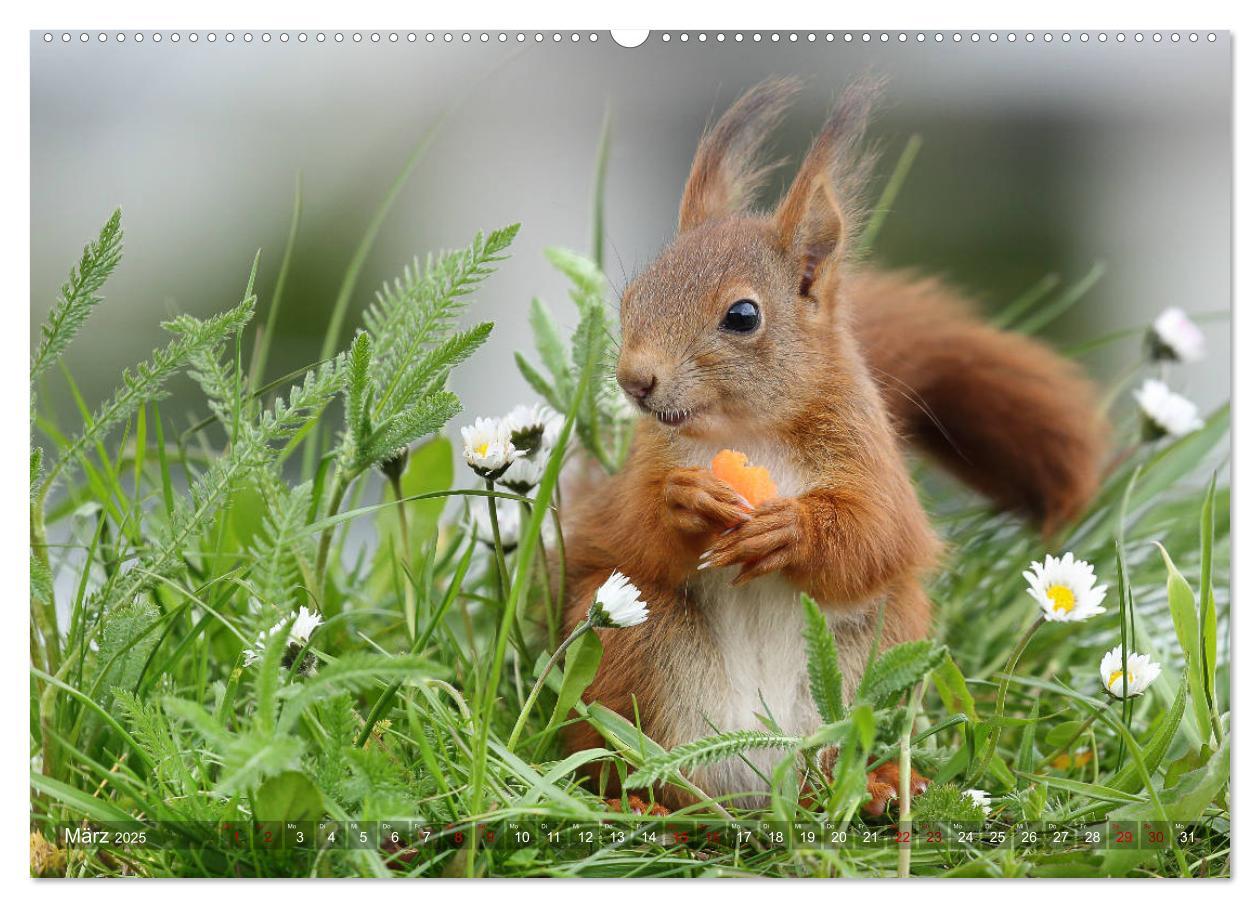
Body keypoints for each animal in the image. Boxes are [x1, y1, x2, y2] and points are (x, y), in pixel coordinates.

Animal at [559, 81, 1103, 811]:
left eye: (742, 316)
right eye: (635, 295)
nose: (635, 380)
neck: (747, 432)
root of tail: (757, 782)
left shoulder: (871, 460)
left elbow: (877, 535)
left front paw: (792, 528)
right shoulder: (636, 479)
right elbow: (631, 529)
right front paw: (685, 499)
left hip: (872, 655)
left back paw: (876, 786)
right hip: (631, 644)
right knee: (625, 756)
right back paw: (637, 800)